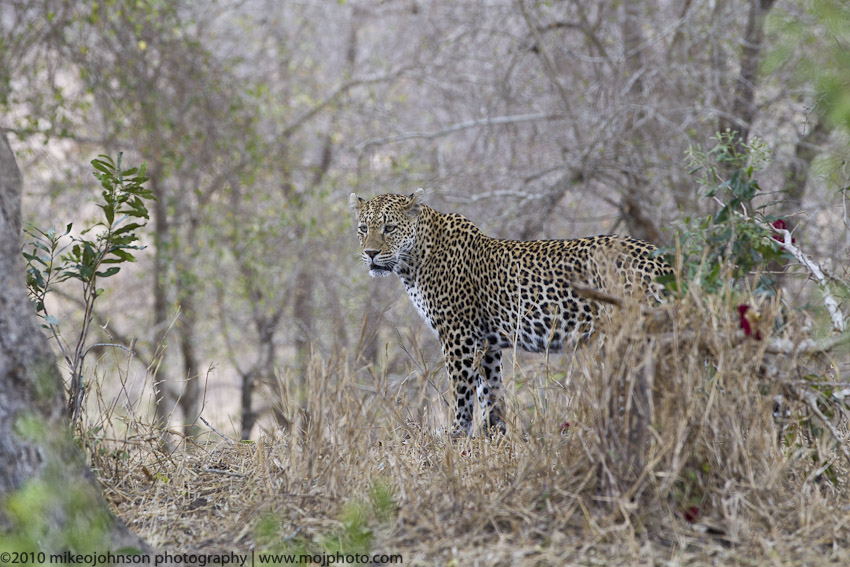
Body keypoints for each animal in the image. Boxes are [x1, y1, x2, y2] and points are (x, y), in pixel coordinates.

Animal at [348, 189, 664, 438]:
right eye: (363, 228)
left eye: (389, 228)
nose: (371, 253)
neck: (413, 261)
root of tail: (660, 258)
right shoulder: (486, 342)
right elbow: (490, 390)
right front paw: (493, 433)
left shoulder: (458, 336)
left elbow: (461, 391)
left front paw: (456, 433)